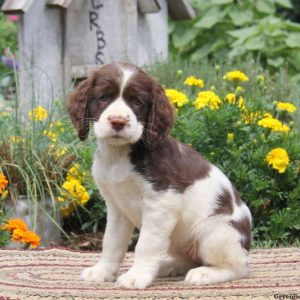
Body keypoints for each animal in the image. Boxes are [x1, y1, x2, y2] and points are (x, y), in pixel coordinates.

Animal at [67, 62, 251, 290]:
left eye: (137, 101)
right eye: (103, 97)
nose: (118, 121)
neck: (120, 155)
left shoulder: (161, 204)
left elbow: (146, 244)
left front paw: (136, 276)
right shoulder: (117, 207)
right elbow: (112, 242)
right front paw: (102, 272)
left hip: (216, 232)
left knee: (237, 267)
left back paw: (205, 273)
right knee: (188, 259)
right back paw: (167, 266)